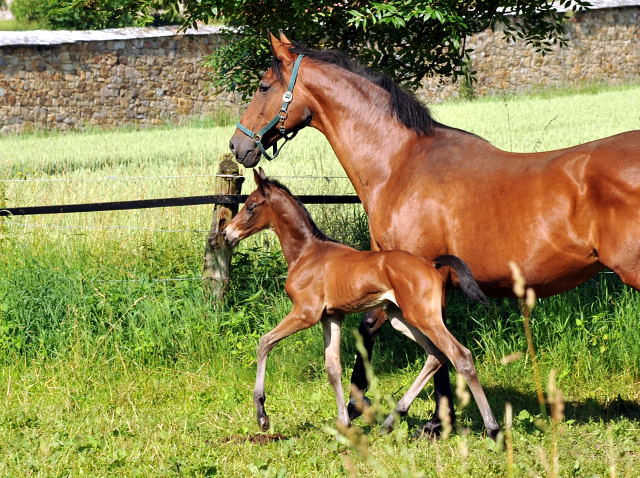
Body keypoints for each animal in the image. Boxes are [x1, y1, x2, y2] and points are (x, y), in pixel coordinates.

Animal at [225, 168, 500, 436]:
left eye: (251, 206)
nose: (227, 233)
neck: (307, 253)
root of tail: (431, 265)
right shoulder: (331, 316)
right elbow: (333, 368)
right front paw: (344, 424)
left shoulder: (305, 313)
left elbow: (265, 342)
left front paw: (262, 415)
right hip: (401, 319)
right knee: (436, 355)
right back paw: (390, 422)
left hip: (423, 317)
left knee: (460, 356)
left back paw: (493, 429)